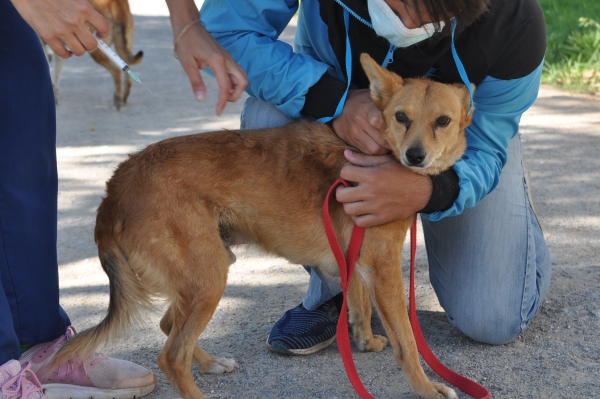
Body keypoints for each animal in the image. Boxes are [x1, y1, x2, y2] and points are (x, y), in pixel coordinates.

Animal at [51, 54, 474, 399]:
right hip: (209, 277)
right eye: (401, 117)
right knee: (171, 356)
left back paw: (210, 363)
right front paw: (428, 387)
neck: (376, 153)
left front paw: (365, 341)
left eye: (442, 121)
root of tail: (115, 188)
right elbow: (407, 340)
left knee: (168, 324)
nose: (415, 156)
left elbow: (358, 304)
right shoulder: (383, 269)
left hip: (204, 272)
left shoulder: (356, 261)